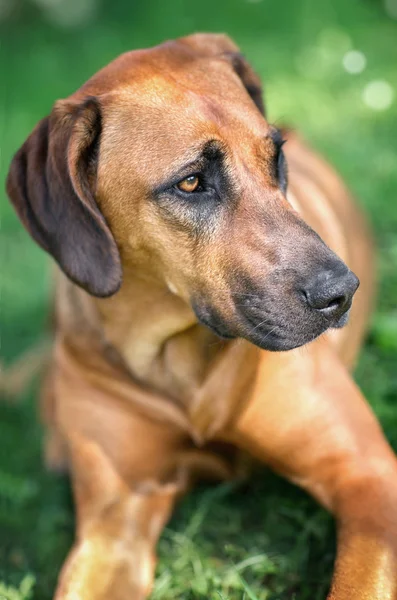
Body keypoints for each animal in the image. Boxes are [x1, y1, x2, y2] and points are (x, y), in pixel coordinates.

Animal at [5, 31, 396, 600]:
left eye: (276, 158)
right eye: (190, 183)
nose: (341, 293)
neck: (177, 358)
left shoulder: (366, 475)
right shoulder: (116, 521)